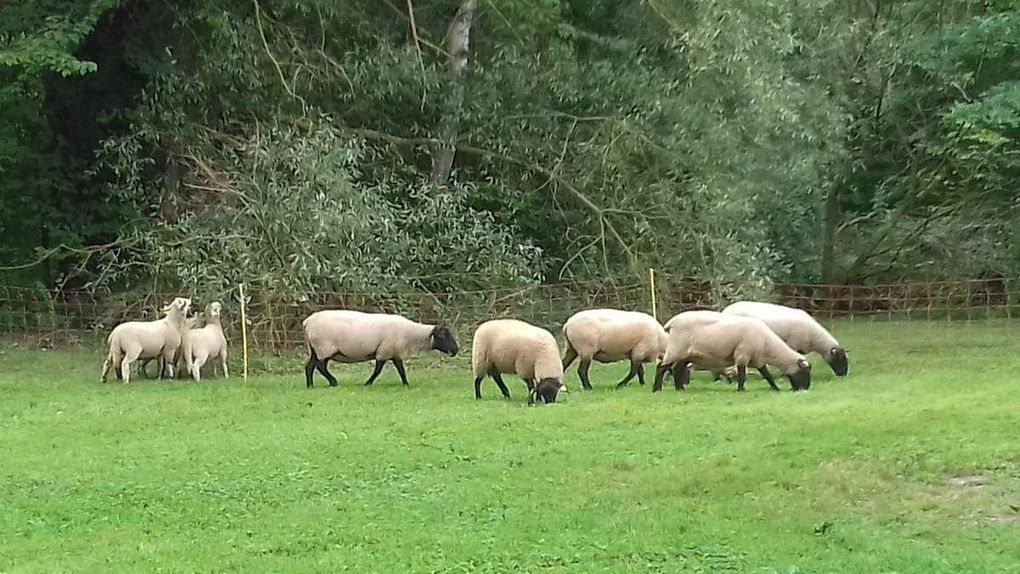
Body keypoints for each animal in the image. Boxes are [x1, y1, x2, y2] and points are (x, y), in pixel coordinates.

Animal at [299, 311, 456, 389]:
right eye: (443, 336)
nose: (456, 350)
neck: (411, 334)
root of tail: (307, 322)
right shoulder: (384, 351)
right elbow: (378, 371)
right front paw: (368, 383)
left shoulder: (394, 352)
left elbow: (401, 370)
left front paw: (406, 384)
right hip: (324, 347)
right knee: (320, 366)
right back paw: (333, 382)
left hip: (315, 349)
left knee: (310, 366)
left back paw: (310, 386)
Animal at [652, 309, 811, 395]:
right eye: (804, 372)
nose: (805, 389)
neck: (768, 345)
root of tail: (672, 322)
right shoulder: (742, 354)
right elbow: (742, 374)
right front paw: (741, 390)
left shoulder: (757, 359)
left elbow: (767, 375)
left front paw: (776, 388)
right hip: (676, 349)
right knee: (661, 367)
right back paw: (656, 389)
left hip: (686, 354)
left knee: (677, 370)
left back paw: (680, 389)